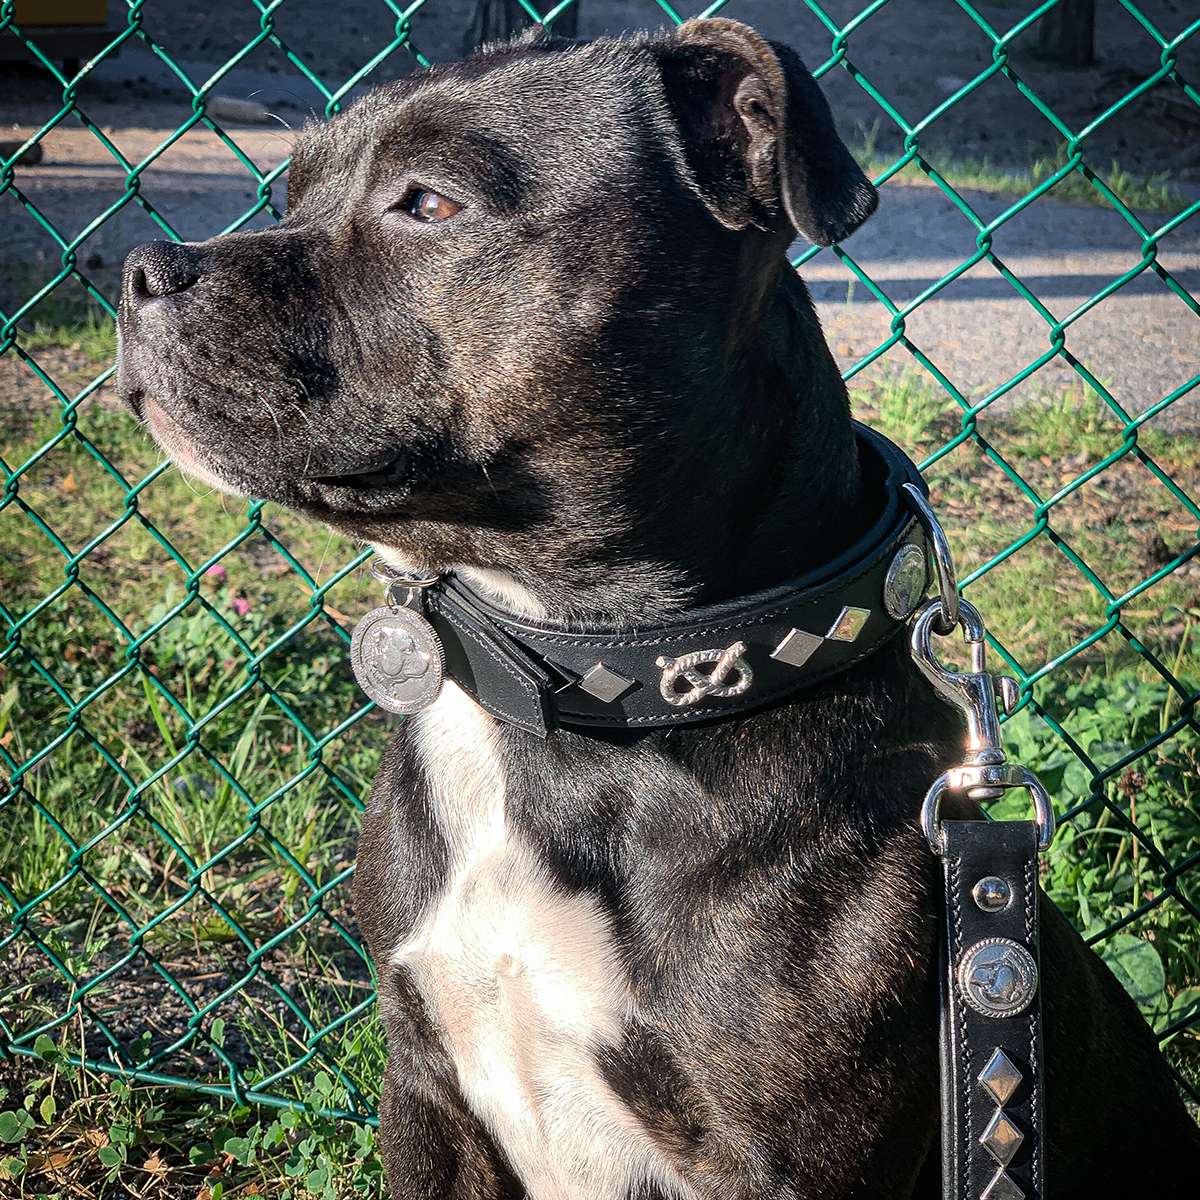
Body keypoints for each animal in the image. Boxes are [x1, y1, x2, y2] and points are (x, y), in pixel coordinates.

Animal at [119, 18, 1200, 1200]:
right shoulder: (425, 1090)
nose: (142, 269)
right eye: (290, 192)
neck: (586, 687)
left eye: (429, 204)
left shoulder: (787, 1164)